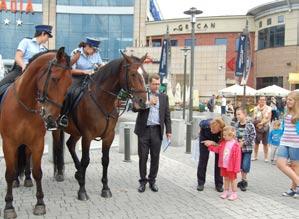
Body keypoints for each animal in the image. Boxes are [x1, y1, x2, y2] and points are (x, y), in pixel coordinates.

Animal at [0, 47, 72, 218]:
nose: (53, 119)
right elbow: (9, 173)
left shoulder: (37, 143)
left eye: (69, 84)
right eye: (55, 79)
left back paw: (26, 178)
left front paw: (40, 203)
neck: (24, 106)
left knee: (26, 156)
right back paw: (16, 181)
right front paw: (9, 206)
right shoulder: (8, 144)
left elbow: (38, 172)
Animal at [50, 52, 149, 200]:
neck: (102, 100)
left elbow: (105, 160)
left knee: (70, 144)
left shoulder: (109, 136)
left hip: (75, 132)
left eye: (146, 75)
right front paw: (82, 191)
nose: (142, 102)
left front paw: (105, 188)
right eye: (132, 74)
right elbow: (86, 160)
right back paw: (59, 173)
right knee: (58, 148)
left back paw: (78, 173)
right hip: (57, 129)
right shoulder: (87, 136)